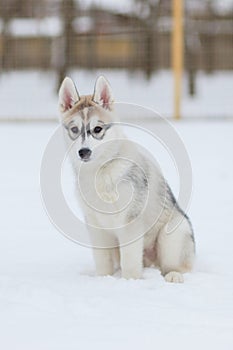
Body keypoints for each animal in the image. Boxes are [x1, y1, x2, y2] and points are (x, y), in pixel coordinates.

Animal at [58, 76, 195, 282]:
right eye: (74, 129)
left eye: (97, 129)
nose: (84, 152)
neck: (101, 171)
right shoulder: (96, 226)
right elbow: (102, 261)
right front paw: (103, 280)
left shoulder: (130, 222)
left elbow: (130, 261)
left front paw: (130, 282)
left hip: (173, 234)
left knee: (177, 266)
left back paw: (173, 275)